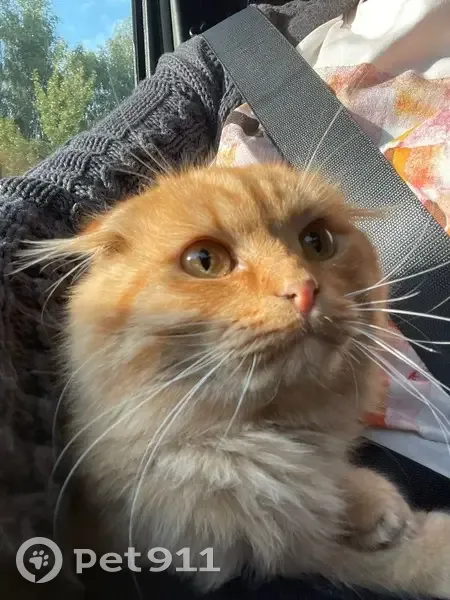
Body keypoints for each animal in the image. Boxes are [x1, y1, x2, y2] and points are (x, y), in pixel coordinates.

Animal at [23, 163, 450, 596]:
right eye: (205, 261)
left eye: (317, 242)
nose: (304, 290)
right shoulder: (230, 545)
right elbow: (344, 555)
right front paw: (427, 551)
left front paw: (371, 506)